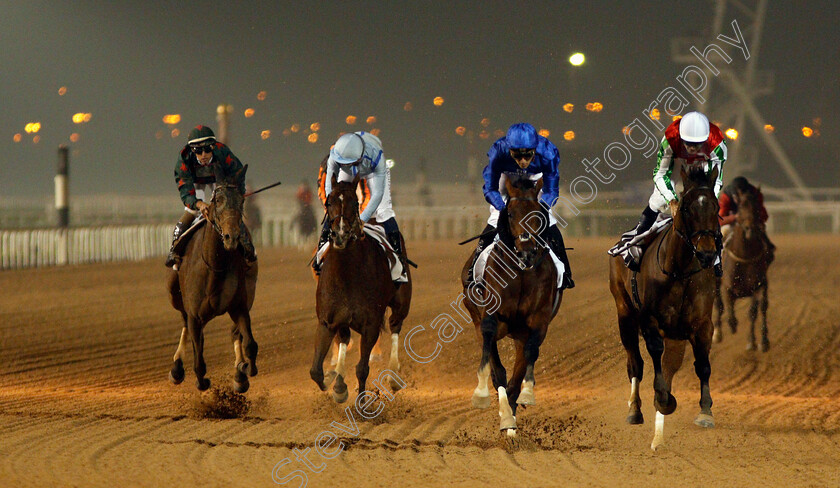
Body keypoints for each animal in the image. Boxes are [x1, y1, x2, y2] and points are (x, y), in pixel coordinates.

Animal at [164, 164, 256, 392]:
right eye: (218, 200)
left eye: (241, 200)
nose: (232, 237)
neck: (215, 266)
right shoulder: (195, 314)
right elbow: (199, 361)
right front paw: (201, 380)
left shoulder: (239, 306)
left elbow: (250, 343)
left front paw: (245, 370)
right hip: (174, 294)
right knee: (185, 323)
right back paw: (177, 369)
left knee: (234, 333)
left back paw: (239, 373)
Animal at [462, 177, 560, 436]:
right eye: (512, 214)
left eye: (538, 213)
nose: (527, 253)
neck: (520, 272)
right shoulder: (490, 317)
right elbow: (495, 365)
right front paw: (483, 396)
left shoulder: (538, 320)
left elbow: (529, 354)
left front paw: (525, 396)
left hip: (519, 333)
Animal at [612, 165, 720, 450]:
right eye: (686, 208)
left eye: (716, 207)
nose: (706, 253)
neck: (679, 271)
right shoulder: (650, 321)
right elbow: (654, 355)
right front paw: (662, 399)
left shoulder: (701, 324)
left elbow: (702, 365)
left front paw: (705, 412)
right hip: (625, 315)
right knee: (635, 364)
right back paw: (635, 410)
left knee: (671, 363)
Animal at [716, 186, 776, 350]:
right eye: (741, 207)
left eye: (757, 207)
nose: (750, 228)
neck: (745, 257)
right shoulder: (727, 286)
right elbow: (727, 308)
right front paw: (731, 326)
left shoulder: (757, 285)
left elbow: (753, 311)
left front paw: (753, 341)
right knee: (718, 304)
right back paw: (717, 333)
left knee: (763, 307)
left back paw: (764, 340)